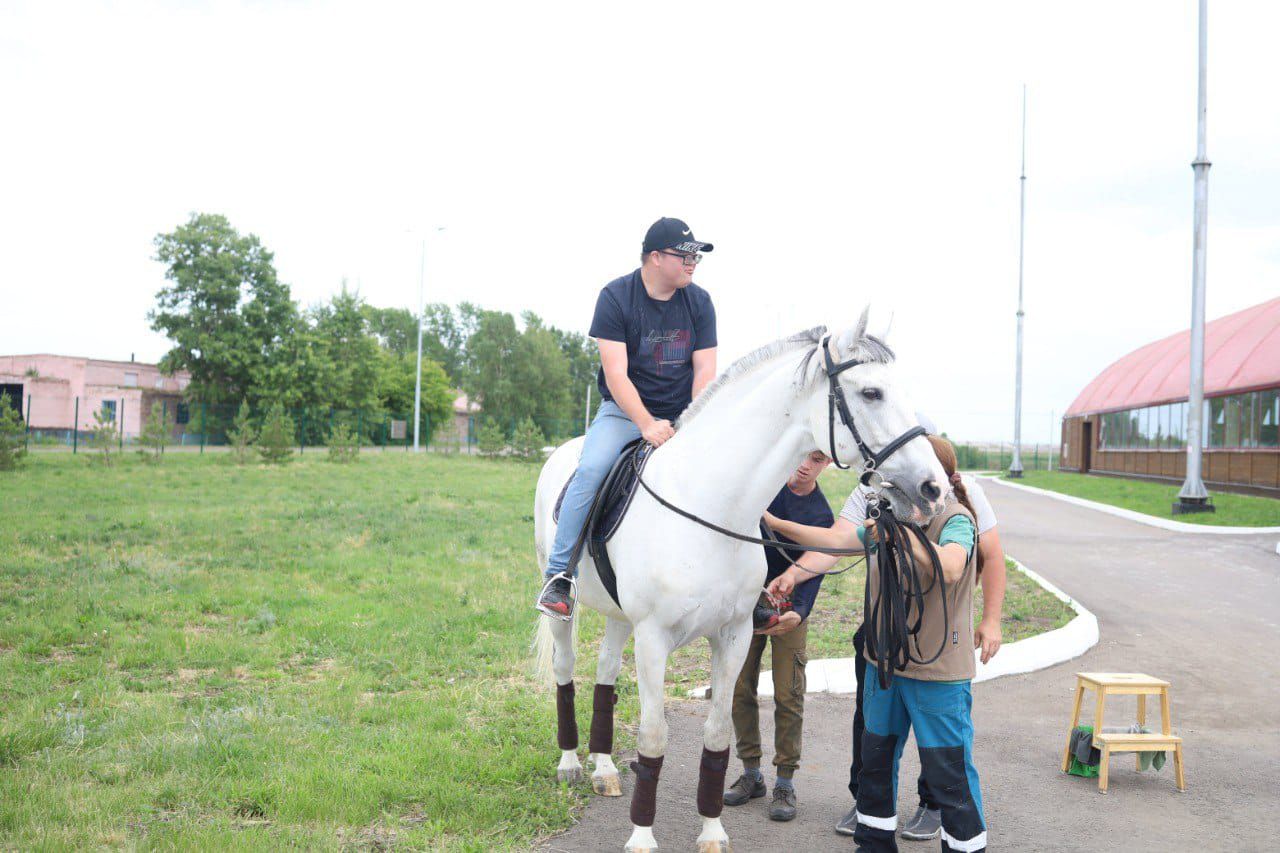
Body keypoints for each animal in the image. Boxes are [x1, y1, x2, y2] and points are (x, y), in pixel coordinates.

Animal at [532, 313, 952, 850]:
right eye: (872, 392)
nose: (933, 488)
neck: (709, 504)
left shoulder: (733, 635)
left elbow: (717, 734)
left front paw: (712, 830)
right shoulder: (653, 639)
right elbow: (653, 736)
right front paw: (642, 836)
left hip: (618, 615)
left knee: (605, 670)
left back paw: (604, 769)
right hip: (568, 606)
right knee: (565, 668)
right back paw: (569, 764)